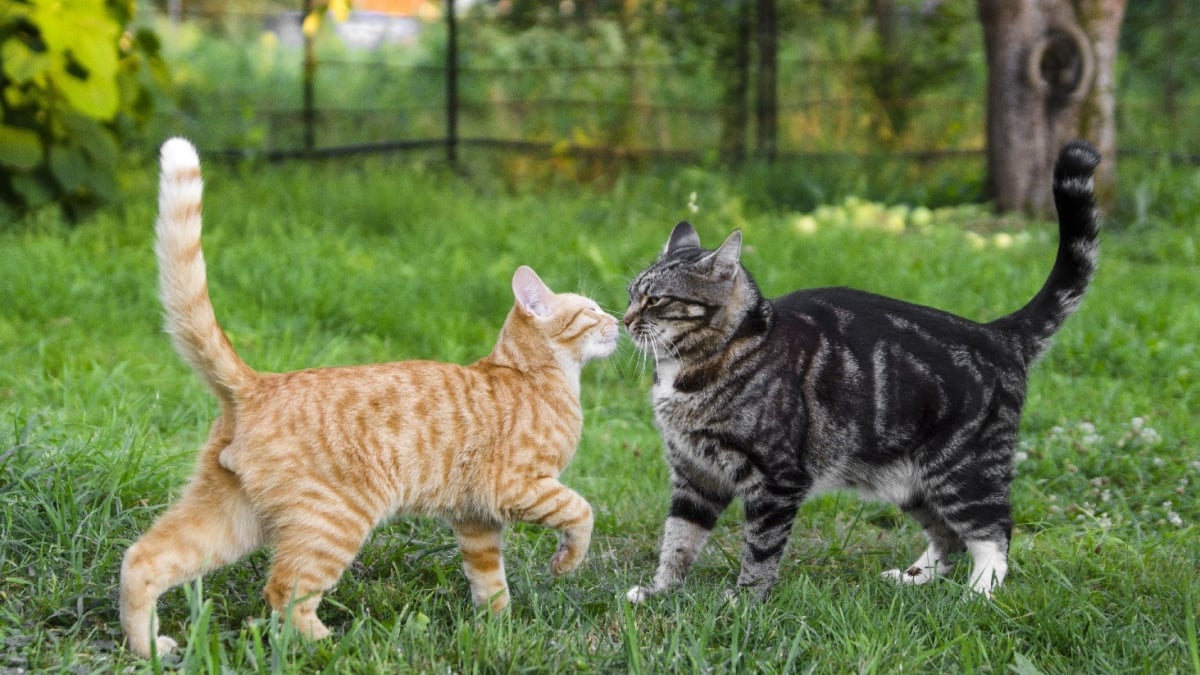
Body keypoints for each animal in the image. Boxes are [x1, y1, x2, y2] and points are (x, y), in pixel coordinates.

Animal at [119, 136, 619, 658]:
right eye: (590, 310)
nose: (618, 320)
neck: (533, 376)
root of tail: (259, 382)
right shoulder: (515, 486)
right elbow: (581, 512)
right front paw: (564, 565)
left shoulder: (475, 519)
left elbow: (490, 582)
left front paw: (498, 632)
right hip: (334, 520)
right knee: (284, 590)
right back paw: (334, 645)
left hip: (230, 519)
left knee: (143, 558)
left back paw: (149, 647)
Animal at [624, 138, 1099, 598]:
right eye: (631, 293)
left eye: (656, 299)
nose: (625, 319)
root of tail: (995, 332)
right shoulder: (694, 473)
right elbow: (679, 538)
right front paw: (659, 591)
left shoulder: (776, 479)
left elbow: (759, 550)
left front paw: (745, 602)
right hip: (913, 481)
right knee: (949, 536)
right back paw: (915, 577)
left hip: (963, 470)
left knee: (992, 533)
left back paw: (981, 591)